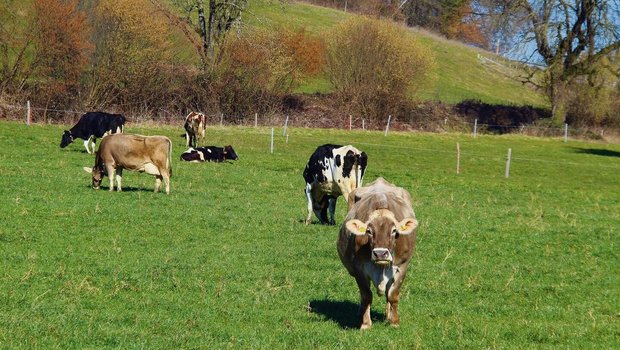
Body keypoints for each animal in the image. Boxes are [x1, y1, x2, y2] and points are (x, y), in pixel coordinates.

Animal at [336, 179, 418, 330]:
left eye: (394, 230)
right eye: (369, 231)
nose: (380, 254)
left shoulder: (402, 267)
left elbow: (393, 295)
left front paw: (394, 321)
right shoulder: (359, 269)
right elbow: (366, 296)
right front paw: (365, 323)